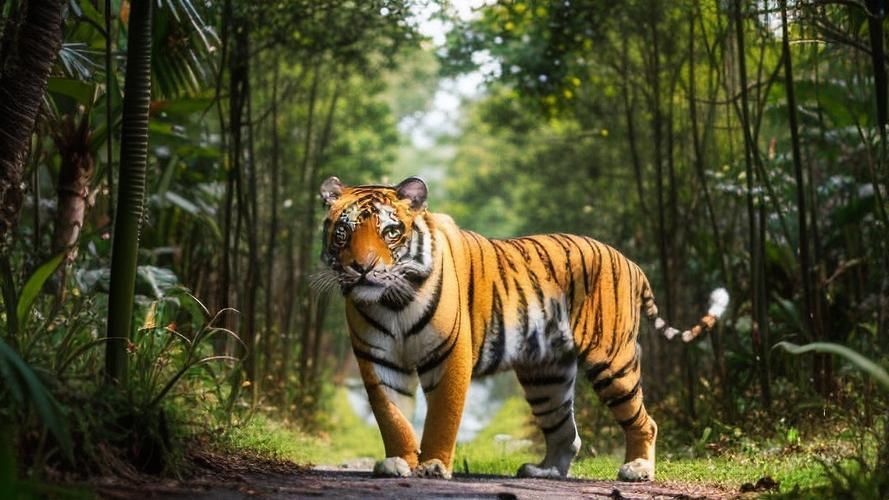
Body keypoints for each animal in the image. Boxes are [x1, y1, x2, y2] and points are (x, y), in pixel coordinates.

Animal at [314, 175, 729, 481]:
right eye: (343, 232)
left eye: (390, 232)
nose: (362, 268)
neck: (392, 302)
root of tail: (631, 262)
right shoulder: (379, 360)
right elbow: (393, 417)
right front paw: (398, 462)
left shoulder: (449, 356)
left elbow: (442, 417)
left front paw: (432, 465)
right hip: (546, 377)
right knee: (566, 433)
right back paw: (544, 472)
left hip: (612, 361)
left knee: (645, 420)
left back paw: (637, 469)